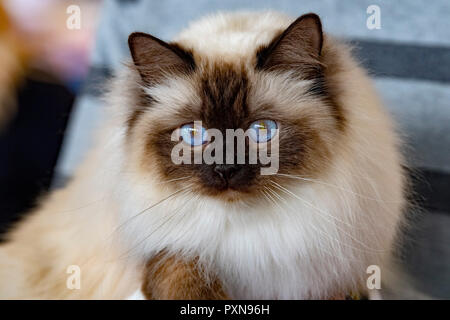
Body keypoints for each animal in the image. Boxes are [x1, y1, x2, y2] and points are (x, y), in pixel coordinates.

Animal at [0, 10, 406, 300]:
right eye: (193, 134)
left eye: (262, 131)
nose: (225, 169)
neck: (246, 232)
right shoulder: (167, 243)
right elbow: (180, 271)